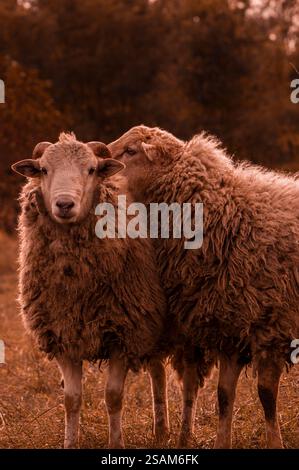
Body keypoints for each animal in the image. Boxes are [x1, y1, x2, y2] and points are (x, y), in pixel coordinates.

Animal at [11, 132, 171, 448]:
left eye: (91, 169)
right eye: (43, 169)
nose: (64, 204)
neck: (77, 285)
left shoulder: (124, 333)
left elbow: (113, 397)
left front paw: (116, 444)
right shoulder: (61, 335)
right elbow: (71, 400)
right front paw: (70, 443)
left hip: (150, 322)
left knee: (158, 373)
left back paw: (162, 430)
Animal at [109, 125, 299, 448]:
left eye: (131, 151)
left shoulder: (273, 328)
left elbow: (265, 395)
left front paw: (275, 442)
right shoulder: (230, 327)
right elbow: (224, 396)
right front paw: (222, 442)